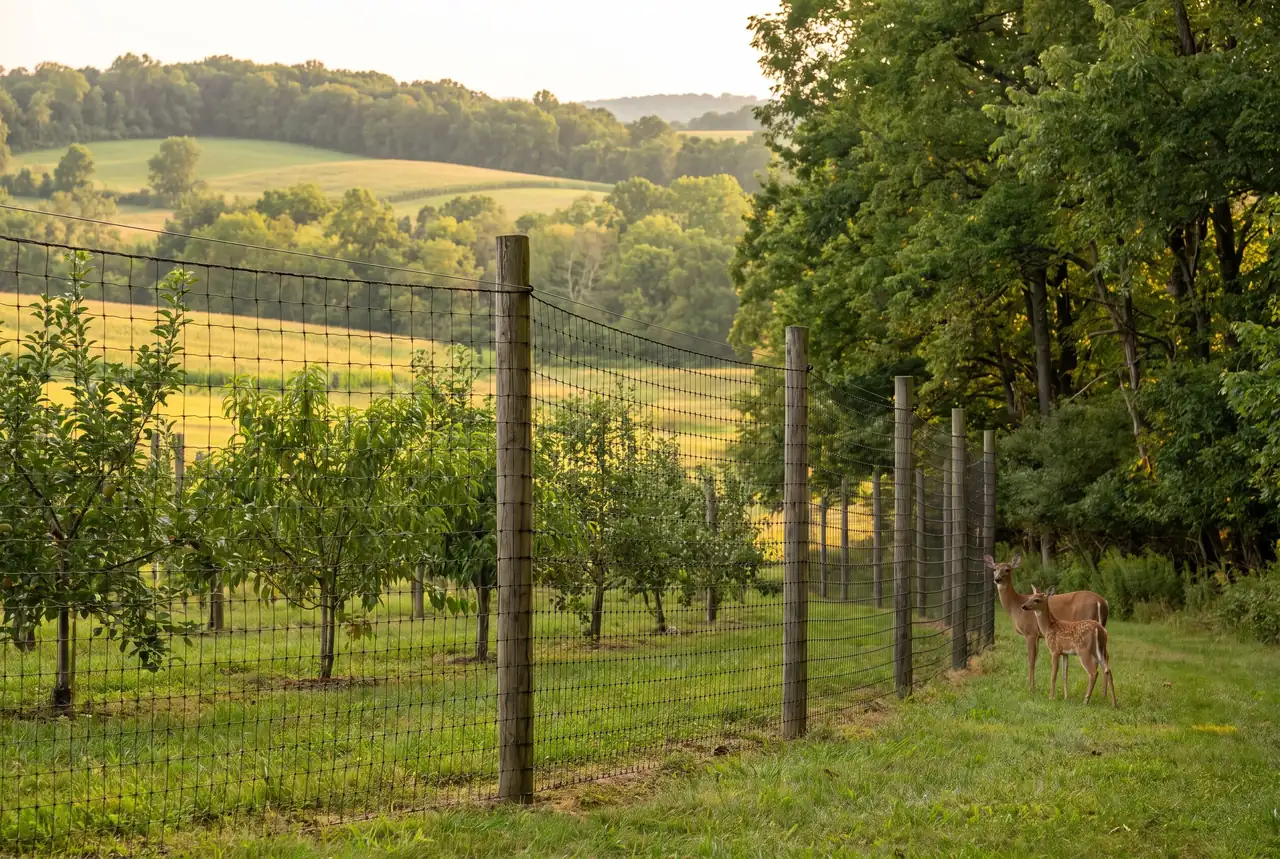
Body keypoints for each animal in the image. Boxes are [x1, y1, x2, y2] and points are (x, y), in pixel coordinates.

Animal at [985, 553, 1108, 694]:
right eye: (994, 569)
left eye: (1007, 569)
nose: (997, 579)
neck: (1015, 607)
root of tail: (1102, 602)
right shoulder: (1038, 635)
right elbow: (1036, 659)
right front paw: (1034, 686)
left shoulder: (1030, 632)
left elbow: (1031, 660)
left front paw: (1031, 688)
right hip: (1102, 632)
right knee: (1105, 657)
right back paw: (1104, 693)